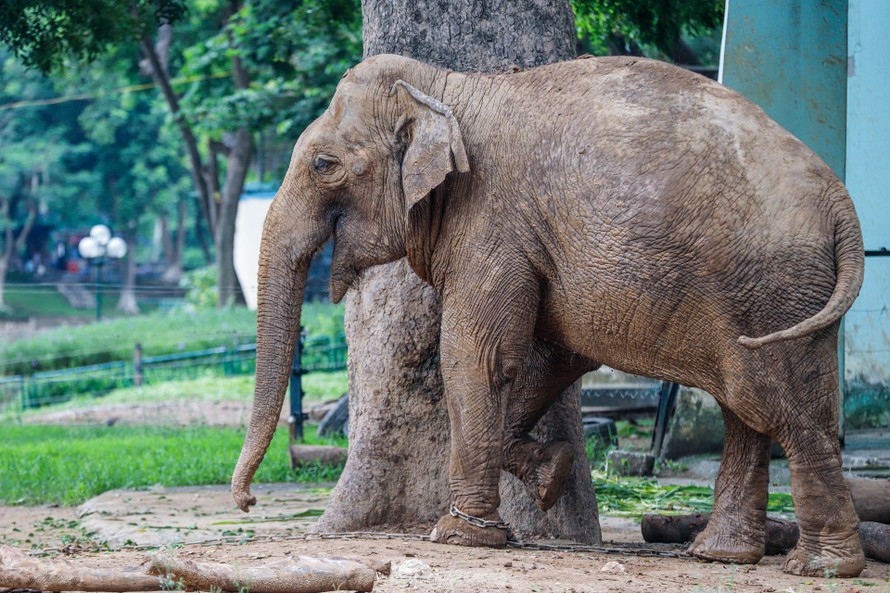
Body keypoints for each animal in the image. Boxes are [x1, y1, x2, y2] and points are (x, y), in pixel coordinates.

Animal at [232, 53, 864, 576]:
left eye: (324, 163)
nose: (246, 500)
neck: (447, 88)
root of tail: (843, 206)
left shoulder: (490, 221)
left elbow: (476, 355)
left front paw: (457, 535)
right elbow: (549, 357)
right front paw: (551, 472)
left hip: (775, 291)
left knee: (782, 407)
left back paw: (821, 567)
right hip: (762, 297)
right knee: (746, 408)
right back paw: (721, 555)